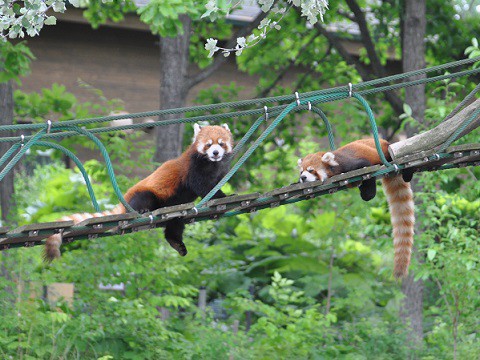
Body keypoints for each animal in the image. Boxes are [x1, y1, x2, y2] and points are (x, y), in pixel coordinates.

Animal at [43, 124, 234, 262]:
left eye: (221, 143)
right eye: (208, 144)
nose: (215, 152)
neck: (212, 164)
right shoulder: (193, 169)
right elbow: (202, 186)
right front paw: (224, 196)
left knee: (175, 224)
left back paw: (177, 243)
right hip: (145, 194)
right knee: (144, 199)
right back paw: (142, 210)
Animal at [296, 139, 412, 278]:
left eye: (311, 170)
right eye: (301, 172)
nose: (303, 178)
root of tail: (385, 141)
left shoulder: (351, 164)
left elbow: (366, 170)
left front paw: (367, 193)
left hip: (387, 152)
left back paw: (407, 173)